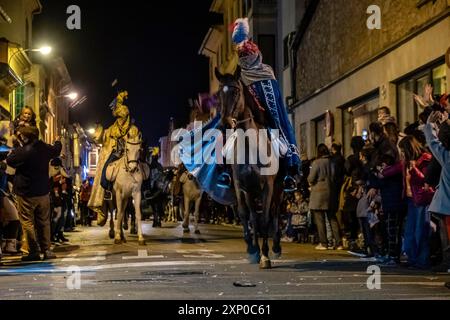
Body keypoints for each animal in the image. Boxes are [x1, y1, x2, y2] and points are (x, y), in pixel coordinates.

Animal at [215, 68, 284, 270]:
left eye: (236, 92)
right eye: (218, 94)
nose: (224, 124)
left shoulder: (268, 186)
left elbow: (265, 218)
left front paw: (265, 256)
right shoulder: (242, 187)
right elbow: (245, 215)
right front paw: (252, 250)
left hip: (278, 188)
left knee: (275, 212)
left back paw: (276, 247)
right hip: (252, 192)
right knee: (254, 216)